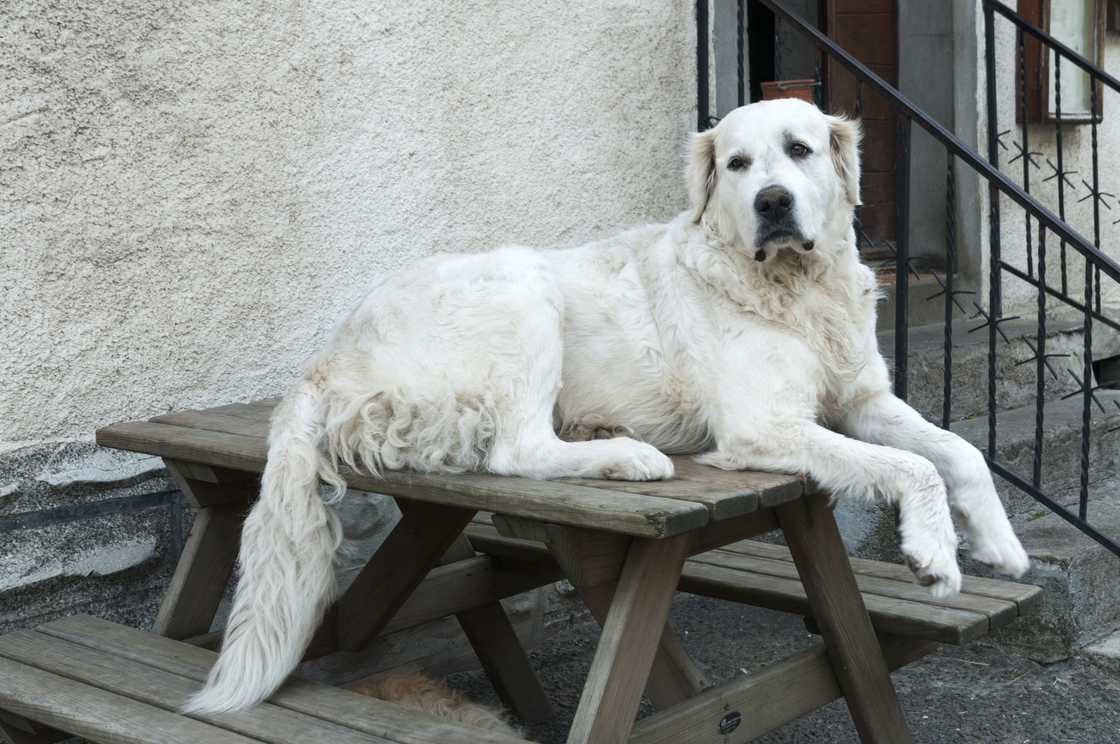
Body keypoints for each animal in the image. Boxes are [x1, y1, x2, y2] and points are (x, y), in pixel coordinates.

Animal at [185, 98, 1030, 717]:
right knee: (515, 450)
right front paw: (934, 552)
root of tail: (328, 357)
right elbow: (912, 468)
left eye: (800, 150)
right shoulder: (765, 426)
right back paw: (628, 454)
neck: (791, 287)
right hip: (523, 291)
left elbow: (959, 451)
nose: (773, 202)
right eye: (737, 164)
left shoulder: (863, 399)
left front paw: (999, 544)